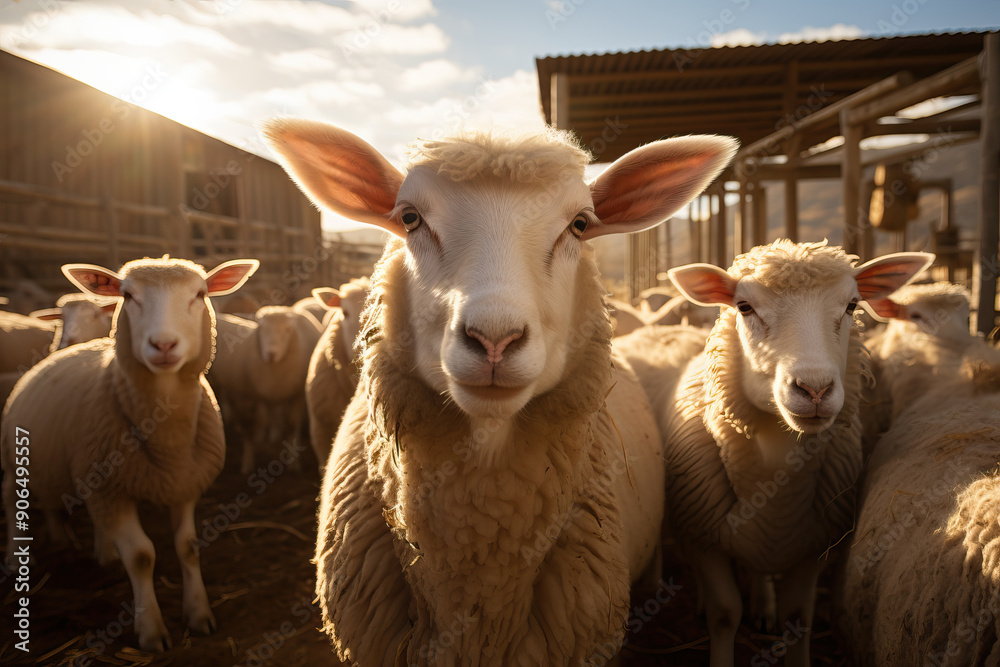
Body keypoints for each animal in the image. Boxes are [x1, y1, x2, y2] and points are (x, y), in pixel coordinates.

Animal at [1, 256, 258, 652]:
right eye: (128, 296)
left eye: (200, 294)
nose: (164, 344)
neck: (168, 443)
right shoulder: (113, 490)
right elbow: (140, 556)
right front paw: (151, 631)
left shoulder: (183, 483)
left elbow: (188, 546)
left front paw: (199, 615)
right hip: (17, 460)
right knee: (14, 499)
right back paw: (18, 558)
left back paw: (89, 547)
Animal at [659, 239, 932, 666]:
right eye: (744, 307)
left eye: (852, 305)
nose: (815, 388)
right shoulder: (704, 539)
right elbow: (724, 614)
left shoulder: (813, 547)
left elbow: (798, 616)